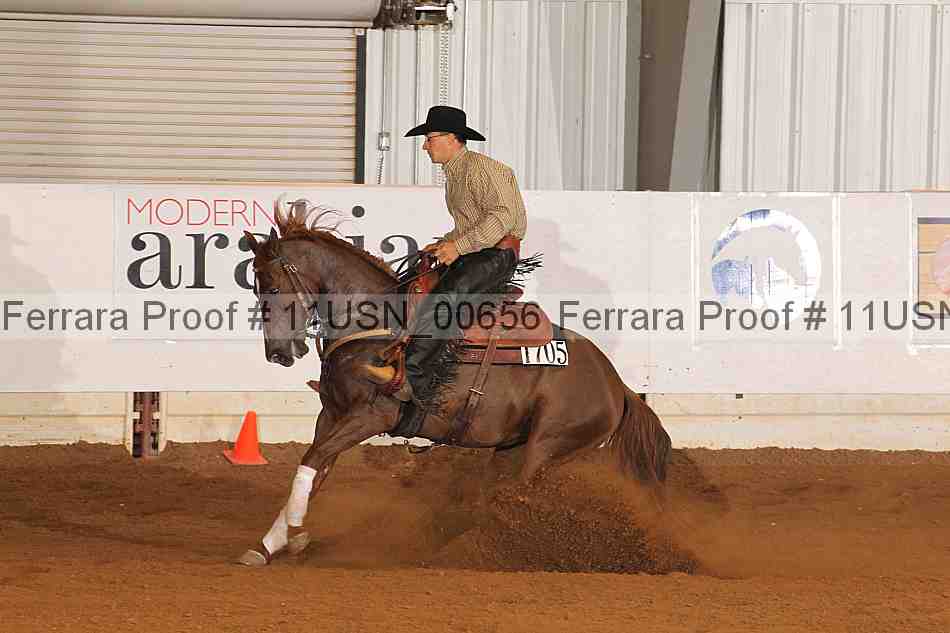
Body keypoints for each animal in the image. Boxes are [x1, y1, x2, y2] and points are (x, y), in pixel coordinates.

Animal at [236, 202, 672, 566]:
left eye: (272, 286)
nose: (278, 353)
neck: (376, 323)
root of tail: (616, 385)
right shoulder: (332, 413)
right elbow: (315, 468)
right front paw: (270, 544)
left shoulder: (370, 416)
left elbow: (312, 461)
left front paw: (294, 535)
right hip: (510, 448)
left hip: (548, 447)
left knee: (513, 496)